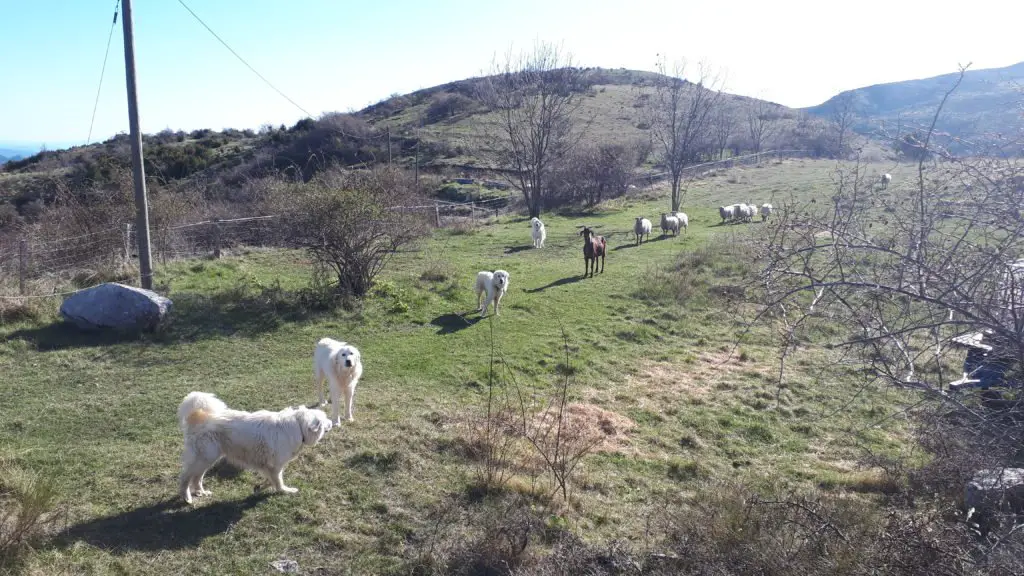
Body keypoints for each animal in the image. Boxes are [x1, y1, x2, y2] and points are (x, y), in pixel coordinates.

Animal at [176, 389, 331, 502]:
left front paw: (261, 486)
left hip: (207, 459)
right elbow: (278, 481)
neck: (298, 426)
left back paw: (201, 492)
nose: (332, 423)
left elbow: (271, 479)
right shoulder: (275, 465)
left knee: (196, 478)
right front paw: (285, 491)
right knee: (185, 478)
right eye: (324, 420)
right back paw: (187, 497)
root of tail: (199, 417)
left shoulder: (269, 466)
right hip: (204, 458)